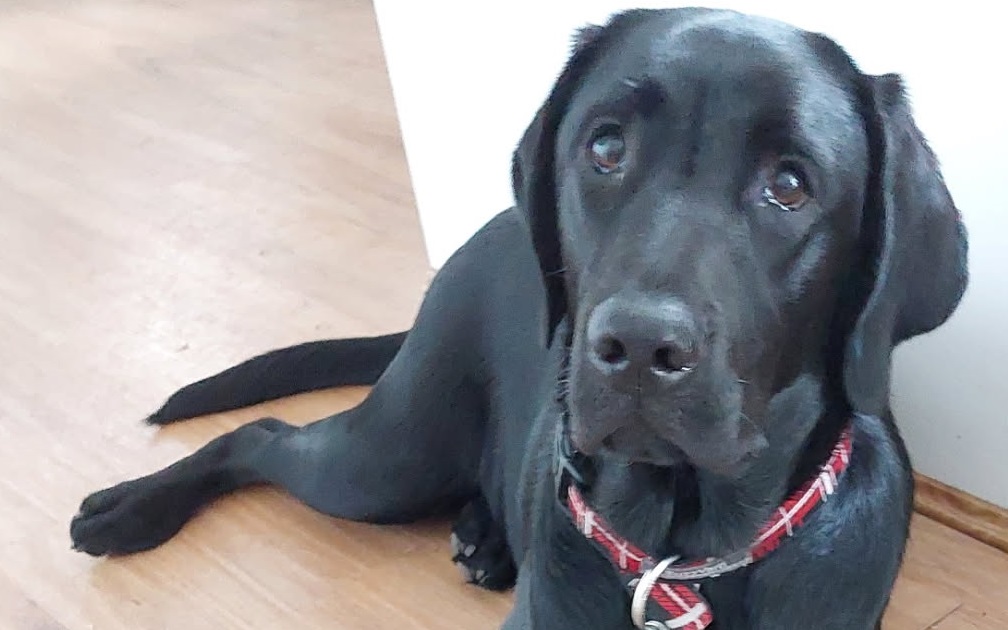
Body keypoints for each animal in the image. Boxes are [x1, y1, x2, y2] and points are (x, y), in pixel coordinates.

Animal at [71, 9, 967, 628]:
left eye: (789, 185)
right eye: (605, 147)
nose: (637, 344)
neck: (679, 561)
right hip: (388, 456)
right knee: (262, 435)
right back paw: (130, 509)